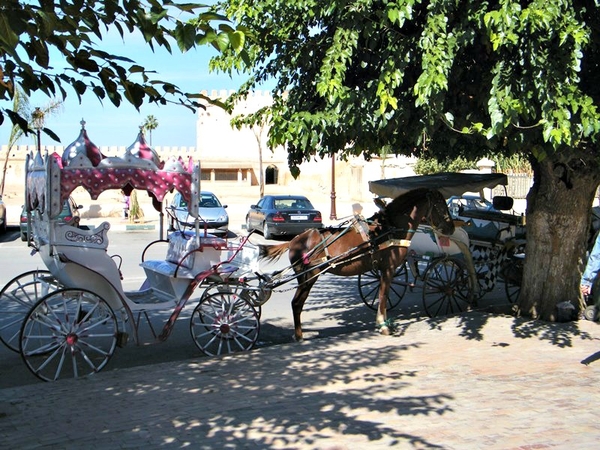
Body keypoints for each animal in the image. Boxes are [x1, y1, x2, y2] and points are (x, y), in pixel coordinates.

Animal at [258, 187, 454, 342]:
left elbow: (382, 295)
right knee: (297, 303)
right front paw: (383, 325)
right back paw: (299, 335)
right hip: (309, 276)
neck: (389, 229)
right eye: (440, 205)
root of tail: (294, 240)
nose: (451, 228)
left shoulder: (383, 270)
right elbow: (383, 296)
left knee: (297, 303)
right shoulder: (388, 269)